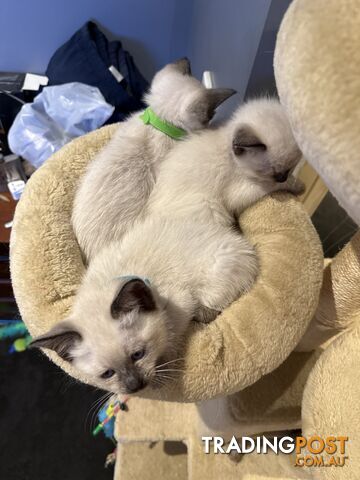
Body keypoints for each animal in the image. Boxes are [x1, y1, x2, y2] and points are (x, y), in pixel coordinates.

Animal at [29, 219, 258, 396]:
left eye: (138, 355)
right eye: (107, 374)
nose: (135, 387)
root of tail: (243, 245)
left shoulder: (182, 304)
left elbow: (171, 339)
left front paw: (162, 375)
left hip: (213, 283)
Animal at [146, 97, 304, 225]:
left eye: (289, 169)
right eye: (275, 174)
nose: (282, 178)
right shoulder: (238, 192)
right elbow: (269, 186)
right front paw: (300, 186)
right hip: (209, 206)